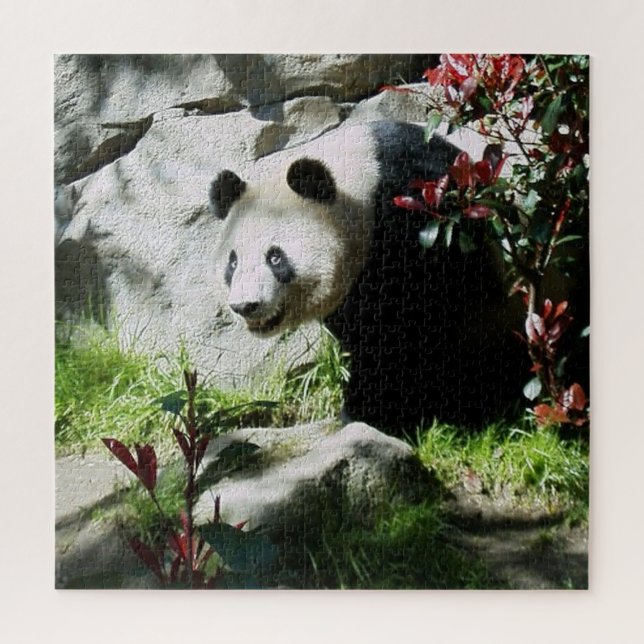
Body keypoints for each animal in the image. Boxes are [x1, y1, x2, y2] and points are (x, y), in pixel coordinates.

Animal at [209, 121, 526, 434]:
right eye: (233, 262)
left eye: (275, 257)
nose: (246, 305)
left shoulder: (419, 221)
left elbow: (410, 326)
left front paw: (375, 410)